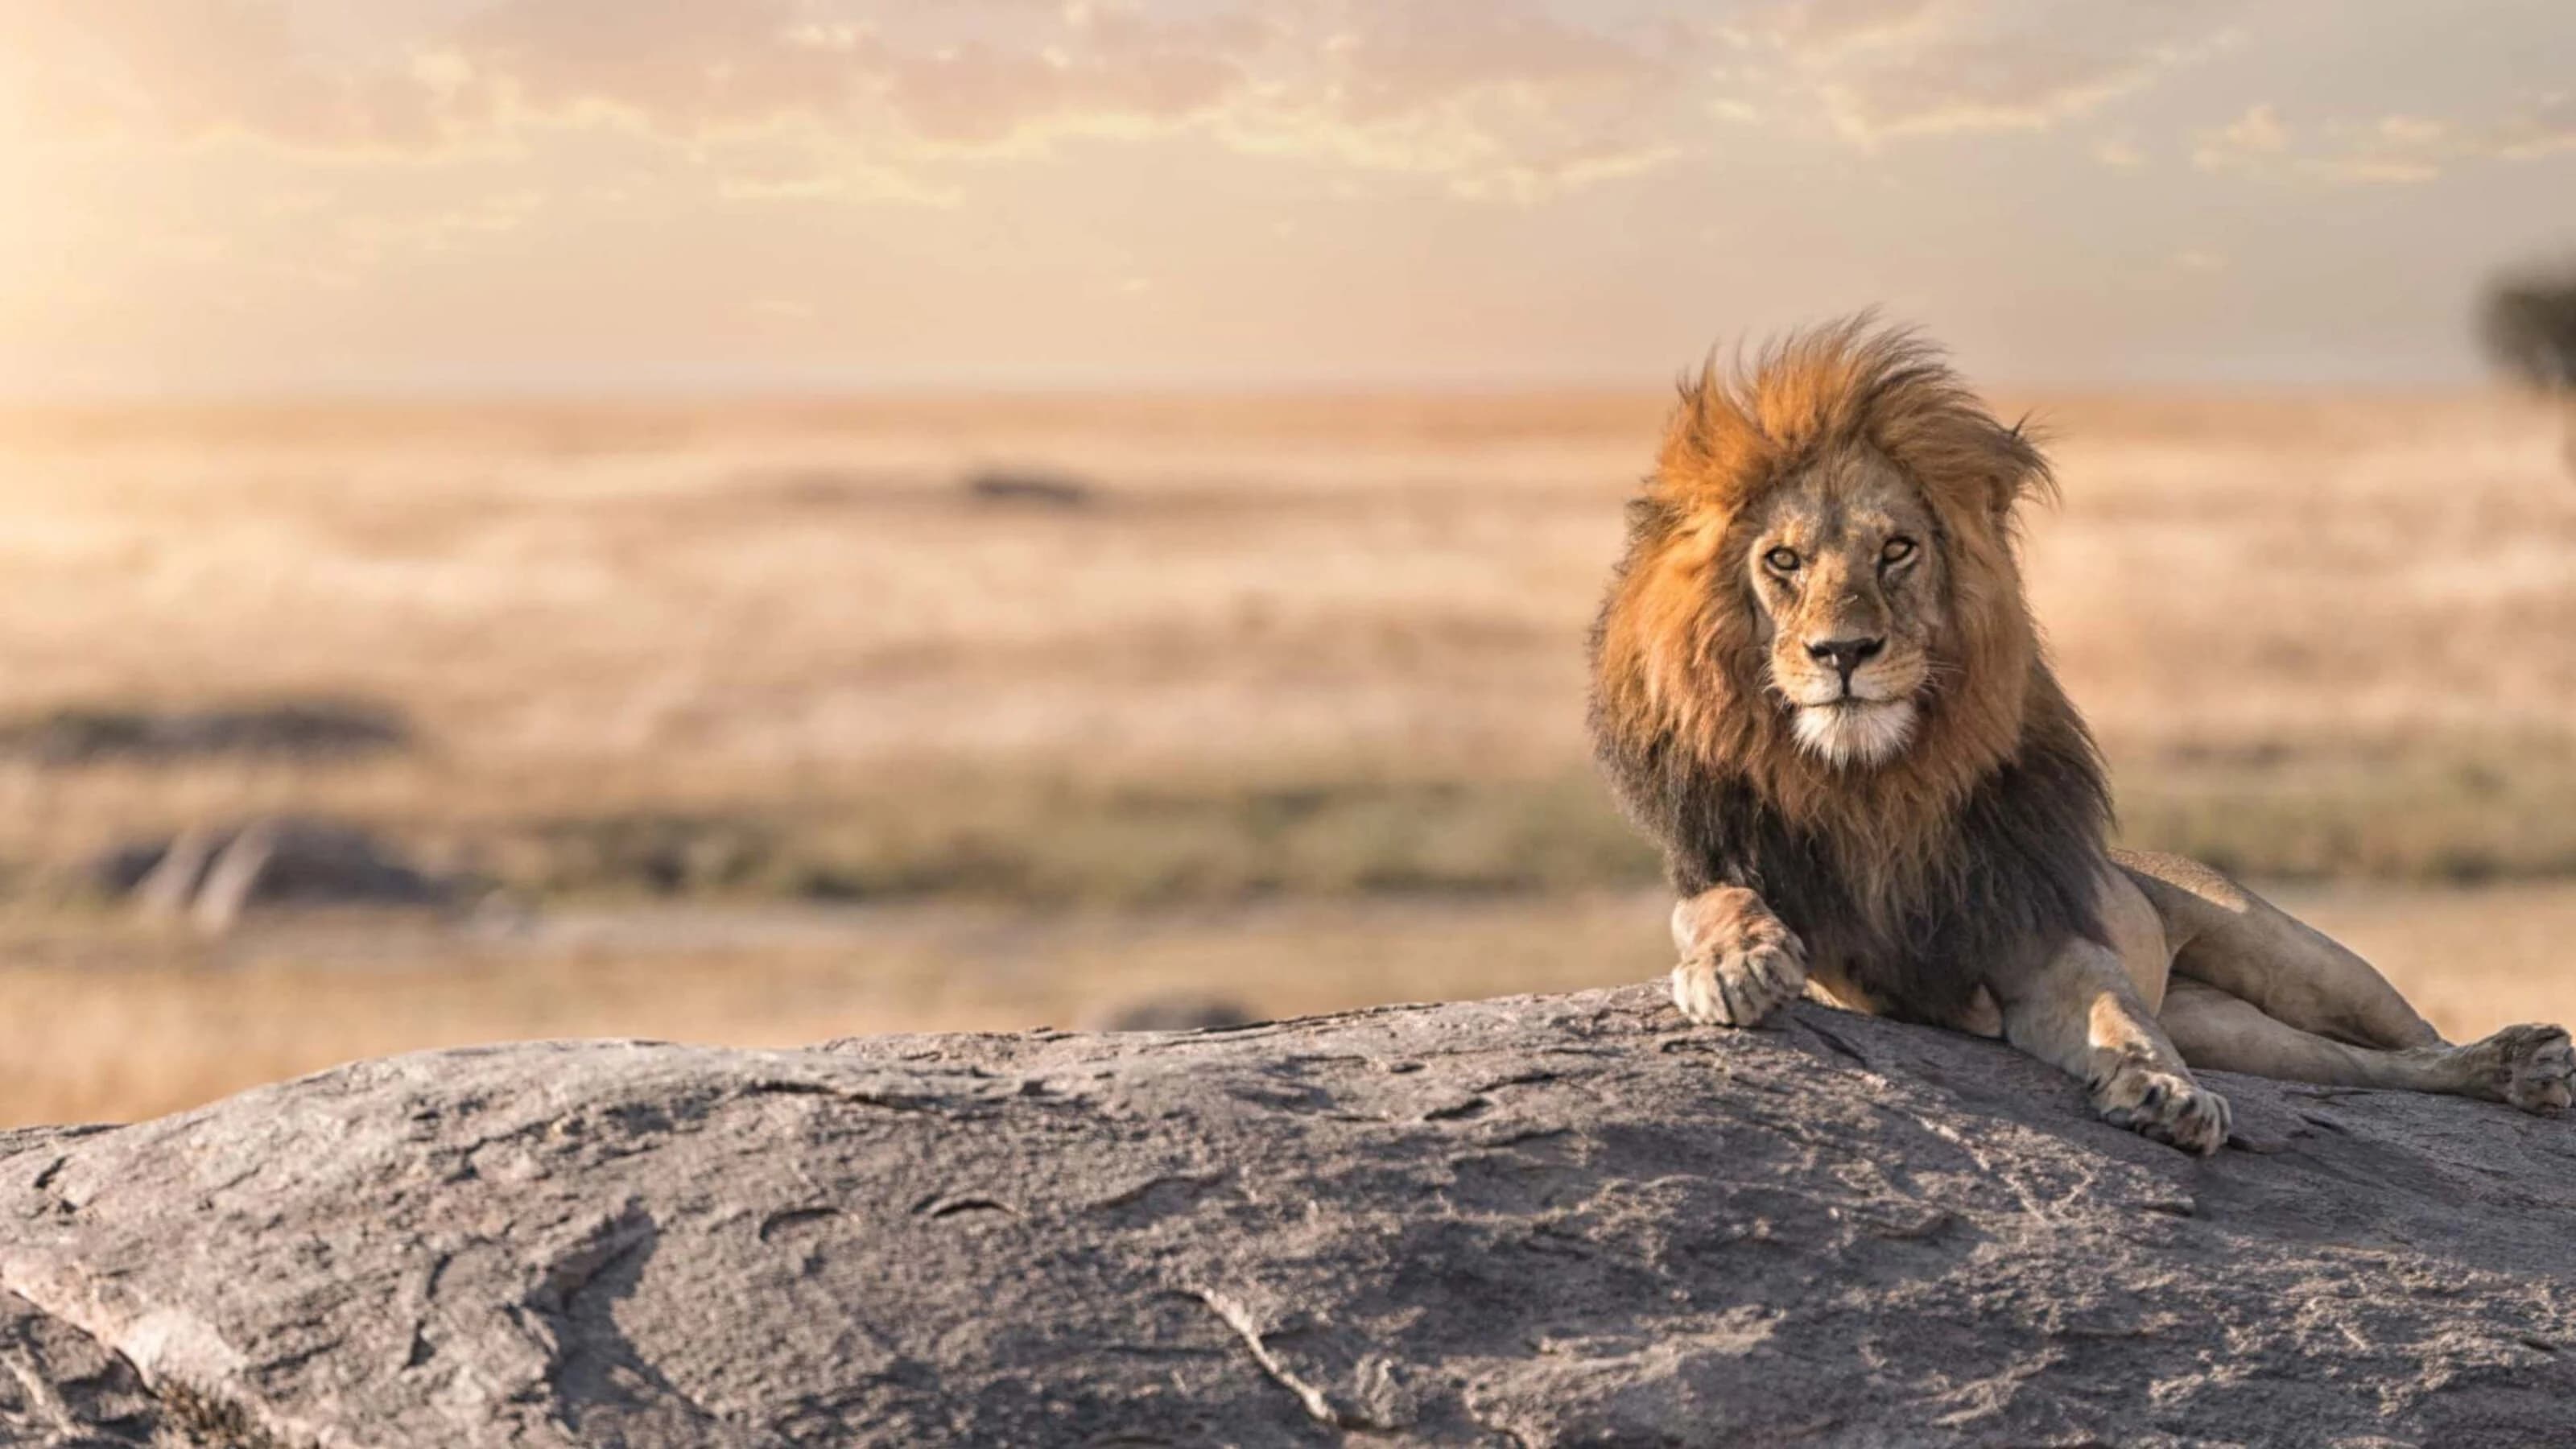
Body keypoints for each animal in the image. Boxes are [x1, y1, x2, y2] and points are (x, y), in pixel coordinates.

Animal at [1588, 317, 2576, 1154]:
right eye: (1783, 562)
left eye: (1897, 550)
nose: (1842, 653)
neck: (1873, 781)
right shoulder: (1784, 911)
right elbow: (1713, 903)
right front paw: (1736, 964)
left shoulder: (2041, 936)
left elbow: (2114, 1015)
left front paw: (2164, 1091)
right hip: (2236, 1031)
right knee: (2364, 1069)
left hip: (2295, 956)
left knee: (2409, 1039)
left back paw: (2521, 1063)